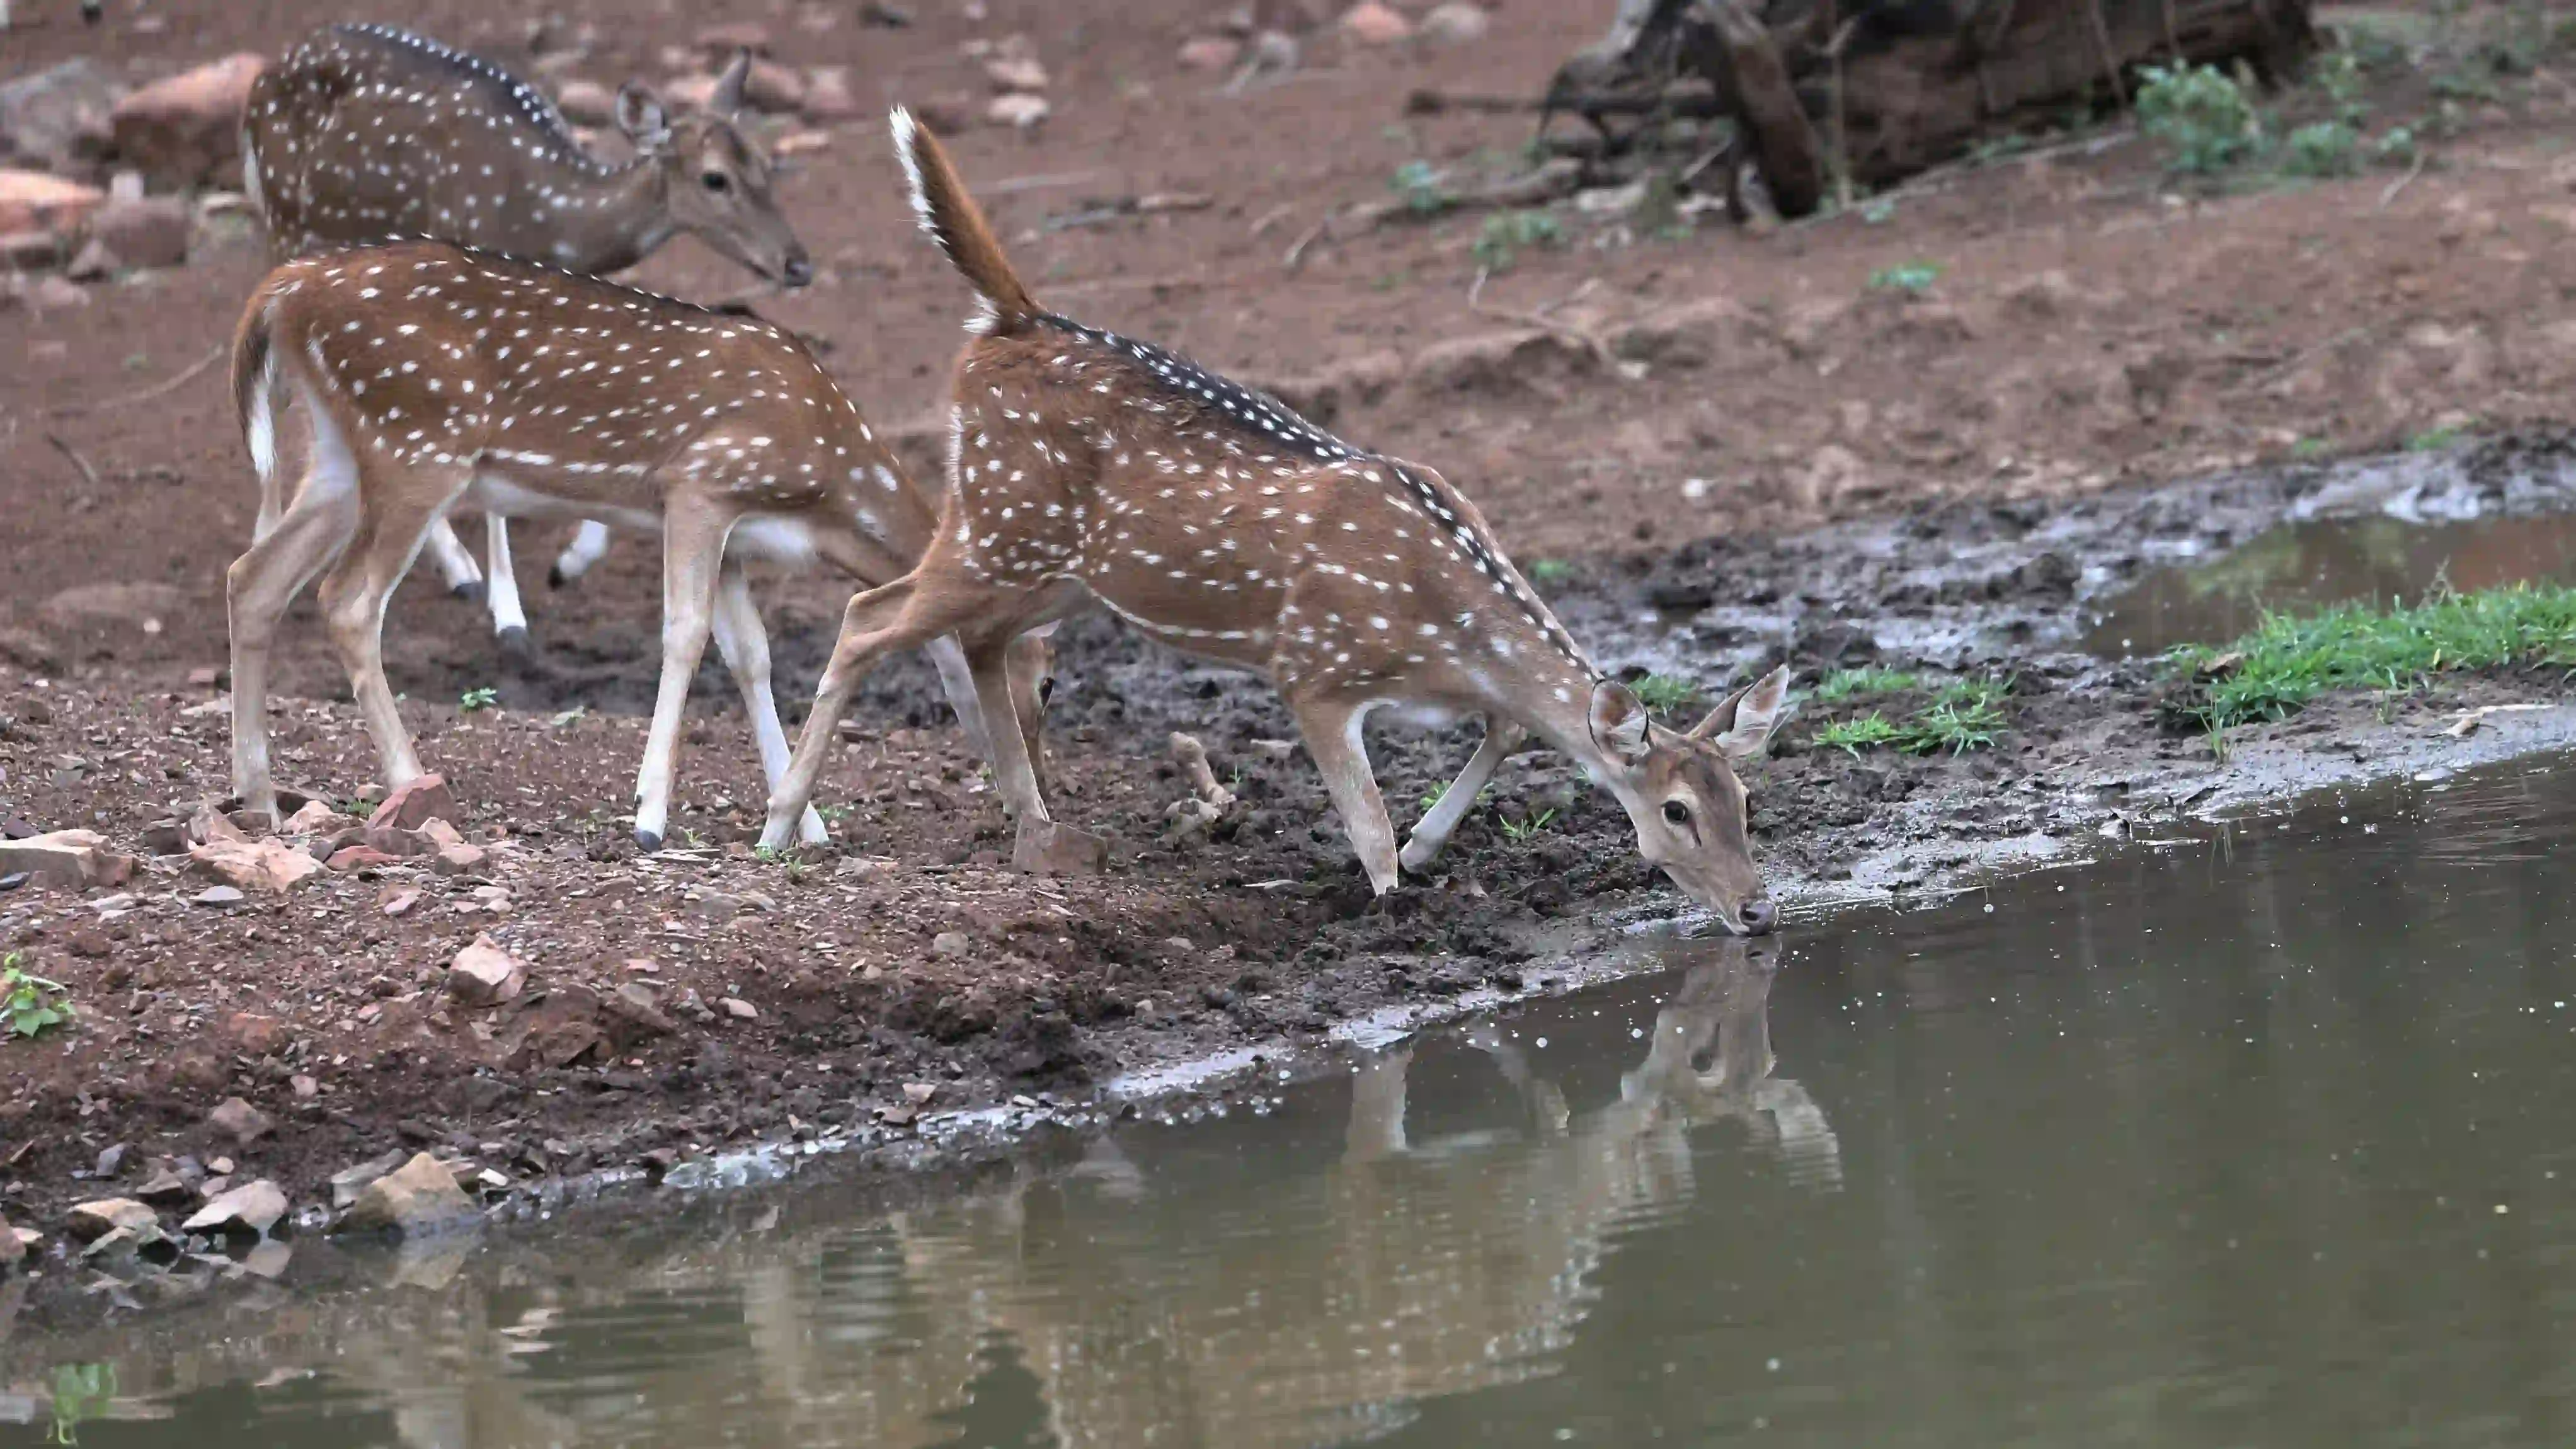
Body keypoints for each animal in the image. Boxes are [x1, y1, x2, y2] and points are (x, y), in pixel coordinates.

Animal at [224, 238, 1046, 845]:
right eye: (1039, 677)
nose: (1033, 786)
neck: (828, 486)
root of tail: (285, 289)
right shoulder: (702, 483)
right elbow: (684, 635)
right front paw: (650, 815)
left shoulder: (737, 539)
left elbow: (752, 657)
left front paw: (802, 820)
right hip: (417, 444)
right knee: (348, 599)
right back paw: (407, 782)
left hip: (341, 455)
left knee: (252, 577)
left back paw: (256, 794)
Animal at [247, 22, 814, 652]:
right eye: (714, 178)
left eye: (767, 164)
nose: (797, 265)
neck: (549, 220)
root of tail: (267, 74)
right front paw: (510, 613)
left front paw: (569, 563)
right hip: (285, 220)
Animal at [752, 110, 1782, 923]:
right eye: (1677, 811)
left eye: (1745, 798)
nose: (1757, 907)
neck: (1435, 617)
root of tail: (1008, 320)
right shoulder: (1311, 668)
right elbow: (1367, 820)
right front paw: (1391, 900)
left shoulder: (1458, 685)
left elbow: (1511, 726)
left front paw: (1429, 847)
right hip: (998, 523)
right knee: (867, 615)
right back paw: (782, 827)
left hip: (1055, 569)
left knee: (981, 644)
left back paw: (1035, 829)